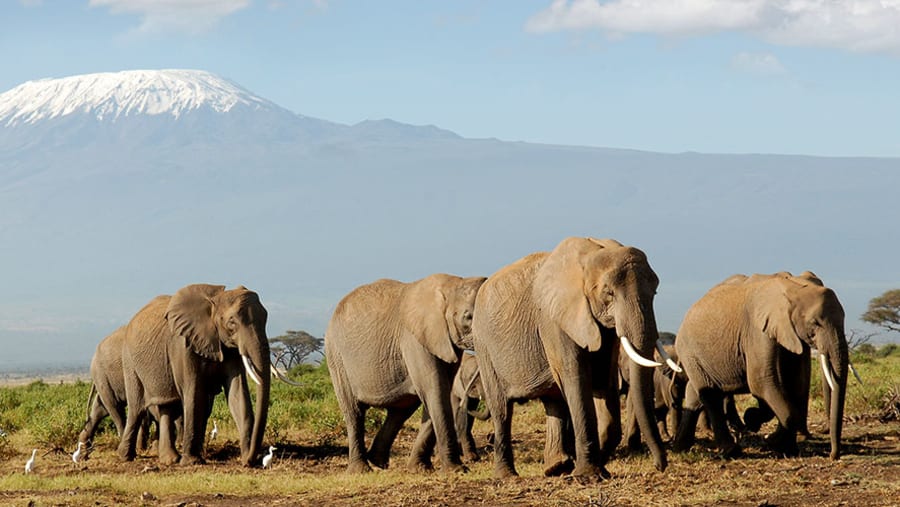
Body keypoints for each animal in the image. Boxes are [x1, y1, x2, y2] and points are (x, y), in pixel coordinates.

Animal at [118, 284, 272, 467]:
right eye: (232, 322)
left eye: (265, 318)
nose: (250, 461)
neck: (214, 301)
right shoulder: (183, 344)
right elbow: (194, 393)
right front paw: (192, 462)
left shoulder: (229, 348)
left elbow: (237, 393)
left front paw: (247, 457)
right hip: (129, 361)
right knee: (137, 407)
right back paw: (125, 457)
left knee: (166, 407)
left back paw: (169, 460)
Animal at [325, 273, 486, 474]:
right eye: (468, 317)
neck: (453, 285)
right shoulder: (414, 339)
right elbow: (435, 391)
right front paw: (457, 470)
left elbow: (438, 393)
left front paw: (421, 469)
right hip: (336, 357)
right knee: (354, 412)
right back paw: (361, 470)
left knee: (401, 411)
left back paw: (378, 461)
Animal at [473, 237, 667, 479]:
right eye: (609, 293)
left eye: (655, 292)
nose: (660, 465)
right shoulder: (554, 320)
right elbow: (576, 377)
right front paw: (589, 475)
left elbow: (603, 379)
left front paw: (598, 465)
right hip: (484, 348)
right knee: (501, 409)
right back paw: (507, 476)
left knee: (553, 401)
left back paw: (557, 468)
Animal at [672, 271, 848, 460]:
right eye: (815, 323)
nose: (833, 456)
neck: (793, 288)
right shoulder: (757, 331)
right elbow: (761, 382)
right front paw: (770, 439)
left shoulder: (789, 334)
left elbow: (793, 383)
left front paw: (784, 447)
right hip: (689, 351)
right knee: (710, 395)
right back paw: (731, 451)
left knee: (695, 393)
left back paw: (680, 448)